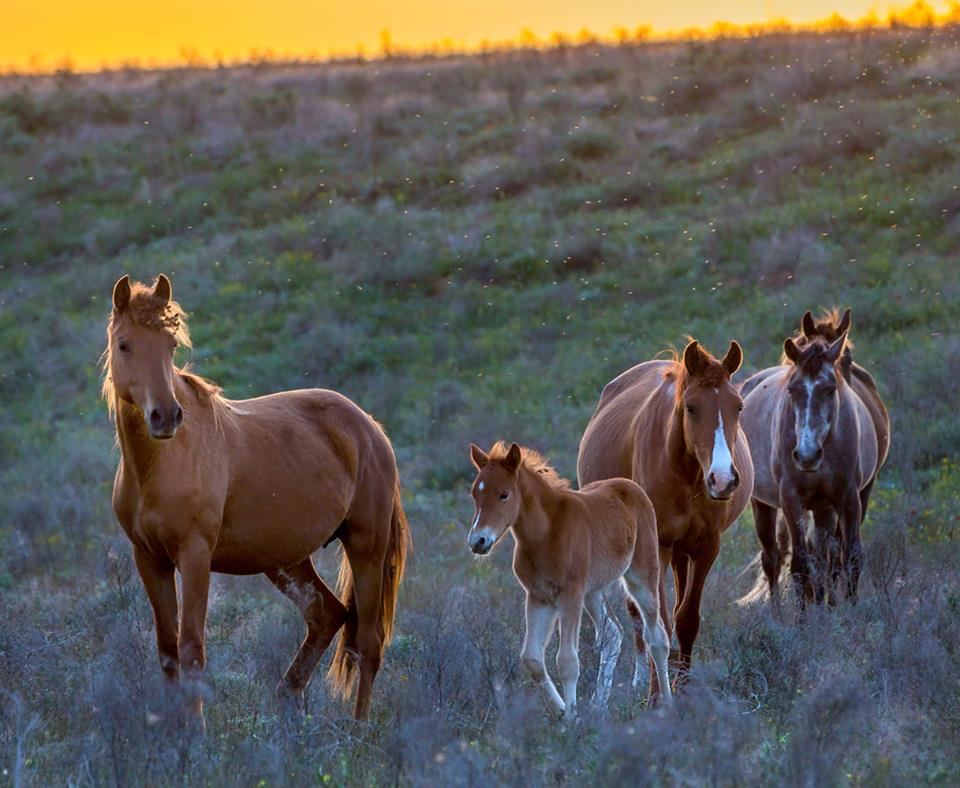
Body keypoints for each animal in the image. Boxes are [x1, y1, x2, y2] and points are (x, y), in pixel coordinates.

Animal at [102, 272, 408, 720]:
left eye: (171, 345)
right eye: (125, 344)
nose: (165, 416)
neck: (158, 466)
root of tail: (370, 427)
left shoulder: (194, 557)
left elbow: (192, 648)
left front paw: (196, 731)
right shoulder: (149, 559)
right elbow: (168, 651)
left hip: (366, 546)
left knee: (368, 642)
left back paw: (357, 727)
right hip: (286, 560)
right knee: (326, 616)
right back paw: (287, 700)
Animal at [464, 440, 668, 716]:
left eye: (504, 494)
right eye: (475, 494)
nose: (478, 541)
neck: (545, 533)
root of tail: (630, 485)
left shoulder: (569, 596)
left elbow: (567, 660)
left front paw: (572, 715)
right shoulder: (539, 598)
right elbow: (532, 658)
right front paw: (563, 711)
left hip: (641, 576)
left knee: (657, 638)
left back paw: (668, 702)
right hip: (592, 592)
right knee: (612, 634)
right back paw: (598, 704)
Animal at [572, 338, 752, 688]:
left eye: (737, 406)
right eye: (691, 408)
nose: (723, 479)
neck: (686, 473)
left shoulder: (707, 546)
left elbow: (687, 619)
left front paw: (682, 685)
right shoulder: (658, 546)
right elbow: (661, 624)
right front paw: (656, 692)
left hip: (684, 551)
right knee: (637, 614)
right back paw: (641, 678)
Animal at [744, 324, 884, 608]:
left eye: (830, 389)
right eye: (792, 390)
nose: (806, 455)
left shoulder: (849, 499)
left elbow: (850, 557)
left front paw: (849, 610)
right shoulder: (791, 500)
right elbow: (799, 565)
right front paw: (802, 618)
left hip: (823, 508)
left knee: (822, 558)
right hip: (762, 504)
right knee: (772, 560)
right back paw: (777, 614)